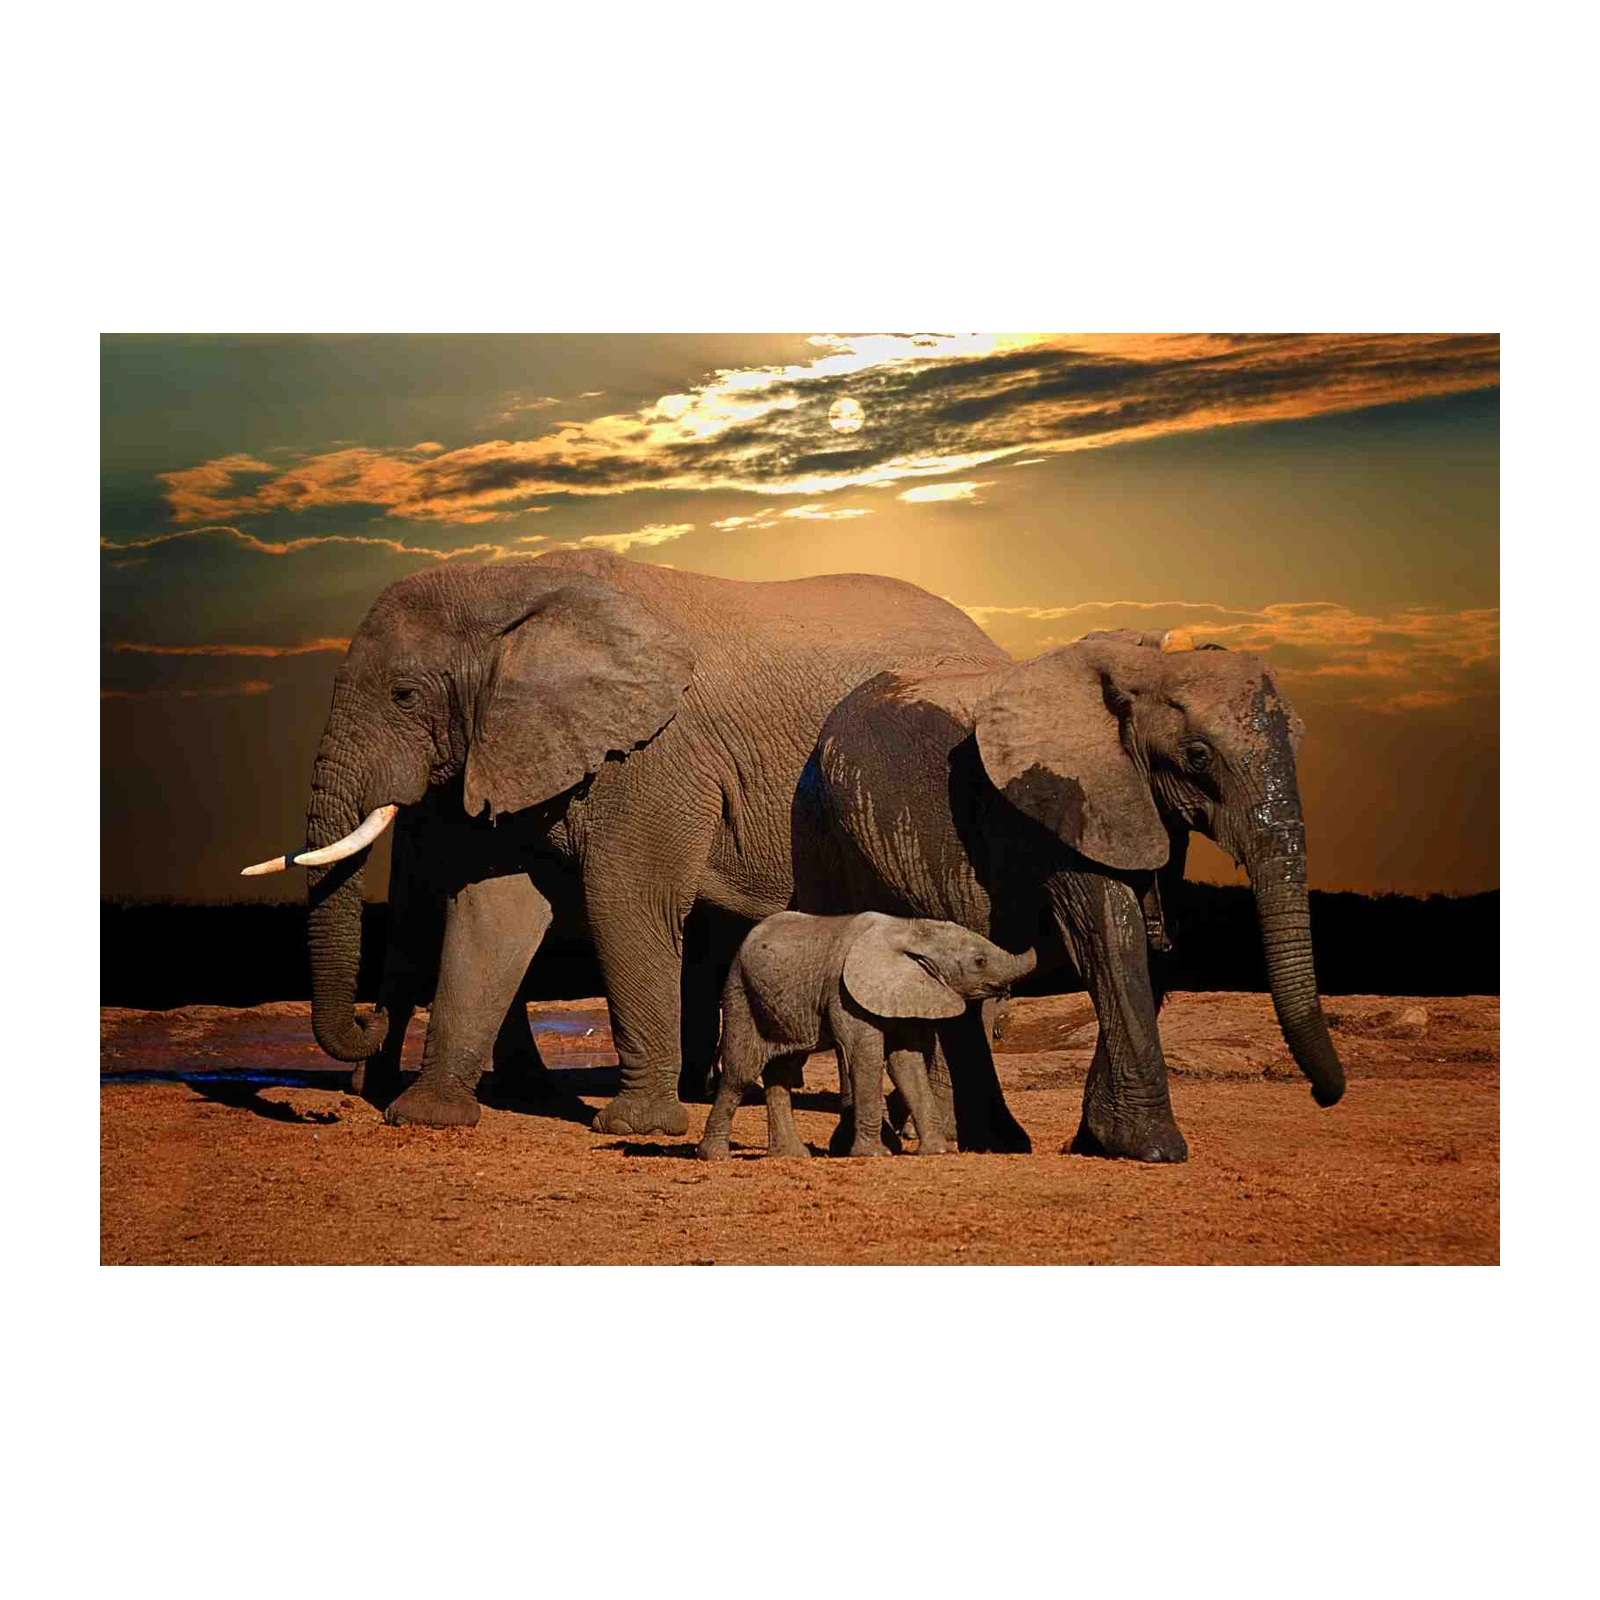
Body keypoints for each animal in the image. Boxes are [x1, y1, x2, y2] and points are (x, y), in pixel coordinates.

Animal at [241, 549, 1008, 1133]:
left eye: (403, 695)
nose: (364, 1020)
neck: (511, 584)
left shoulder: (658, 754)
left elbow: (625, 901)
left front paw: (637, 1127)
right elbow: (491, 913)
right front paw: (427, 1117)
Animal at [697, 911, 1037, 1162]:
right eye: (980, 961)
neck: (911, 930)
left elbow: (906, 1064)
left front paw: (937, 1151)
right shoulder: (844, 992)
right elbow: (866, 1058)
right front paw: (874, 1154)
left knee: (783, 1070)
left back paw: (792, 1156)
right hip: (740, 992)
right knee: (741, 1072)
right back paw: (715, 1157)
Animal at [791, 626, 1347, 1163]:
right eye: (1198, 755)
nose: (1323, 1096)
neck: (1144, 665)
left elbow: (1152, 945)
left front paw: (1095, 1141)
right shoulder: (1054, 808)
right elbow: (1112, 938)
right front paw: (1152, 1149)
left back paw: (994, 1143)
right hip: (827, 829)